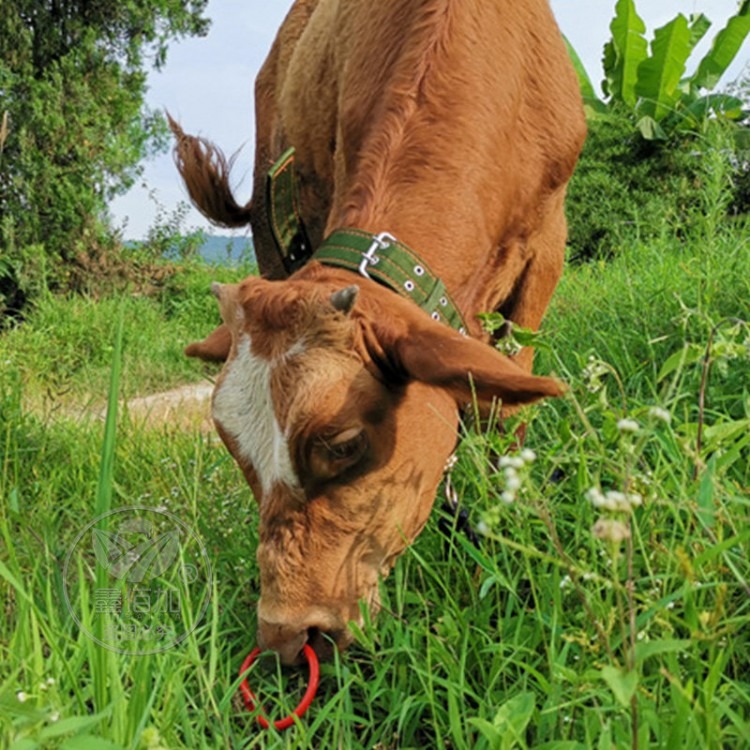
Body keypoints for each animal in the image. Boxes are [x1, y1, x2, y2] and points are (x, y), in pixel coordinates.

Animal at [172, 0, 588, 668]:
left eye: (344, 443)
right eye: (234, 449)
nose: (287, 638)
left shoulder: (549, 243)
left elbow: (504, 414)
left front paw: (499, 547)